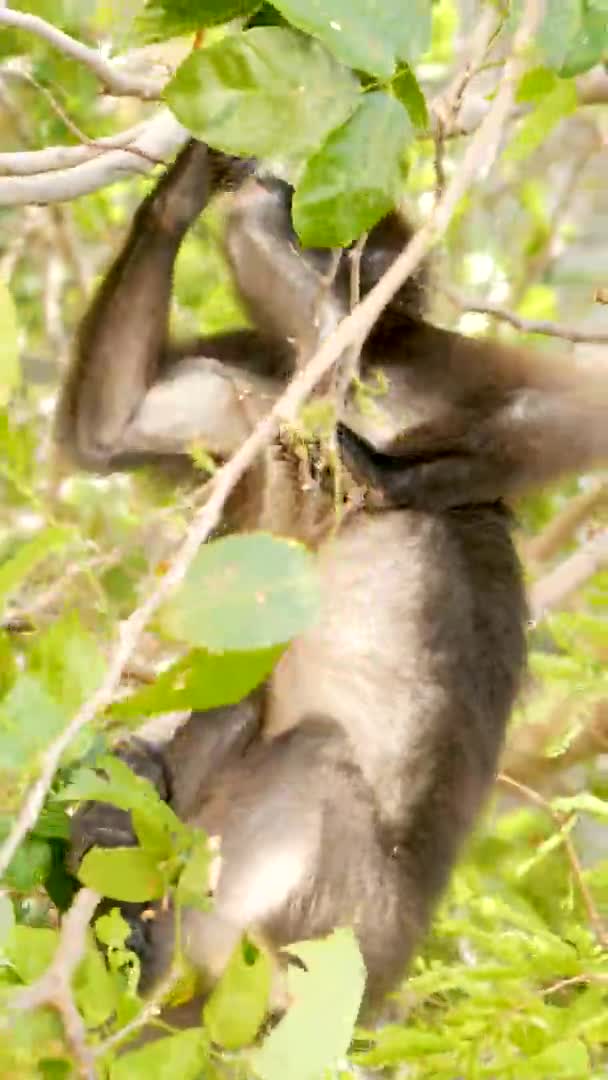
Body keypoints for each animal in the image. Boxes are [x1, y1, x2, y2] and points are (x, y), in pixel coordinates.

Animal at [60, 137, 608, 1019]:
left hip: (335, 923)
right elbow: (109, 431)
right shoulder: (258, 384)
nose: (273, 183)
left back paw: (158, 938)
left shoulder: (427, 362)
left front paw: (387, 475)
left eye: (305, 207)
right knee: (242, 698)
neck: (336, 380)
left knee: (315, 749)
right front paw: (187, 177)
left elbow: (584, 413)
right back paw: (114, 846)